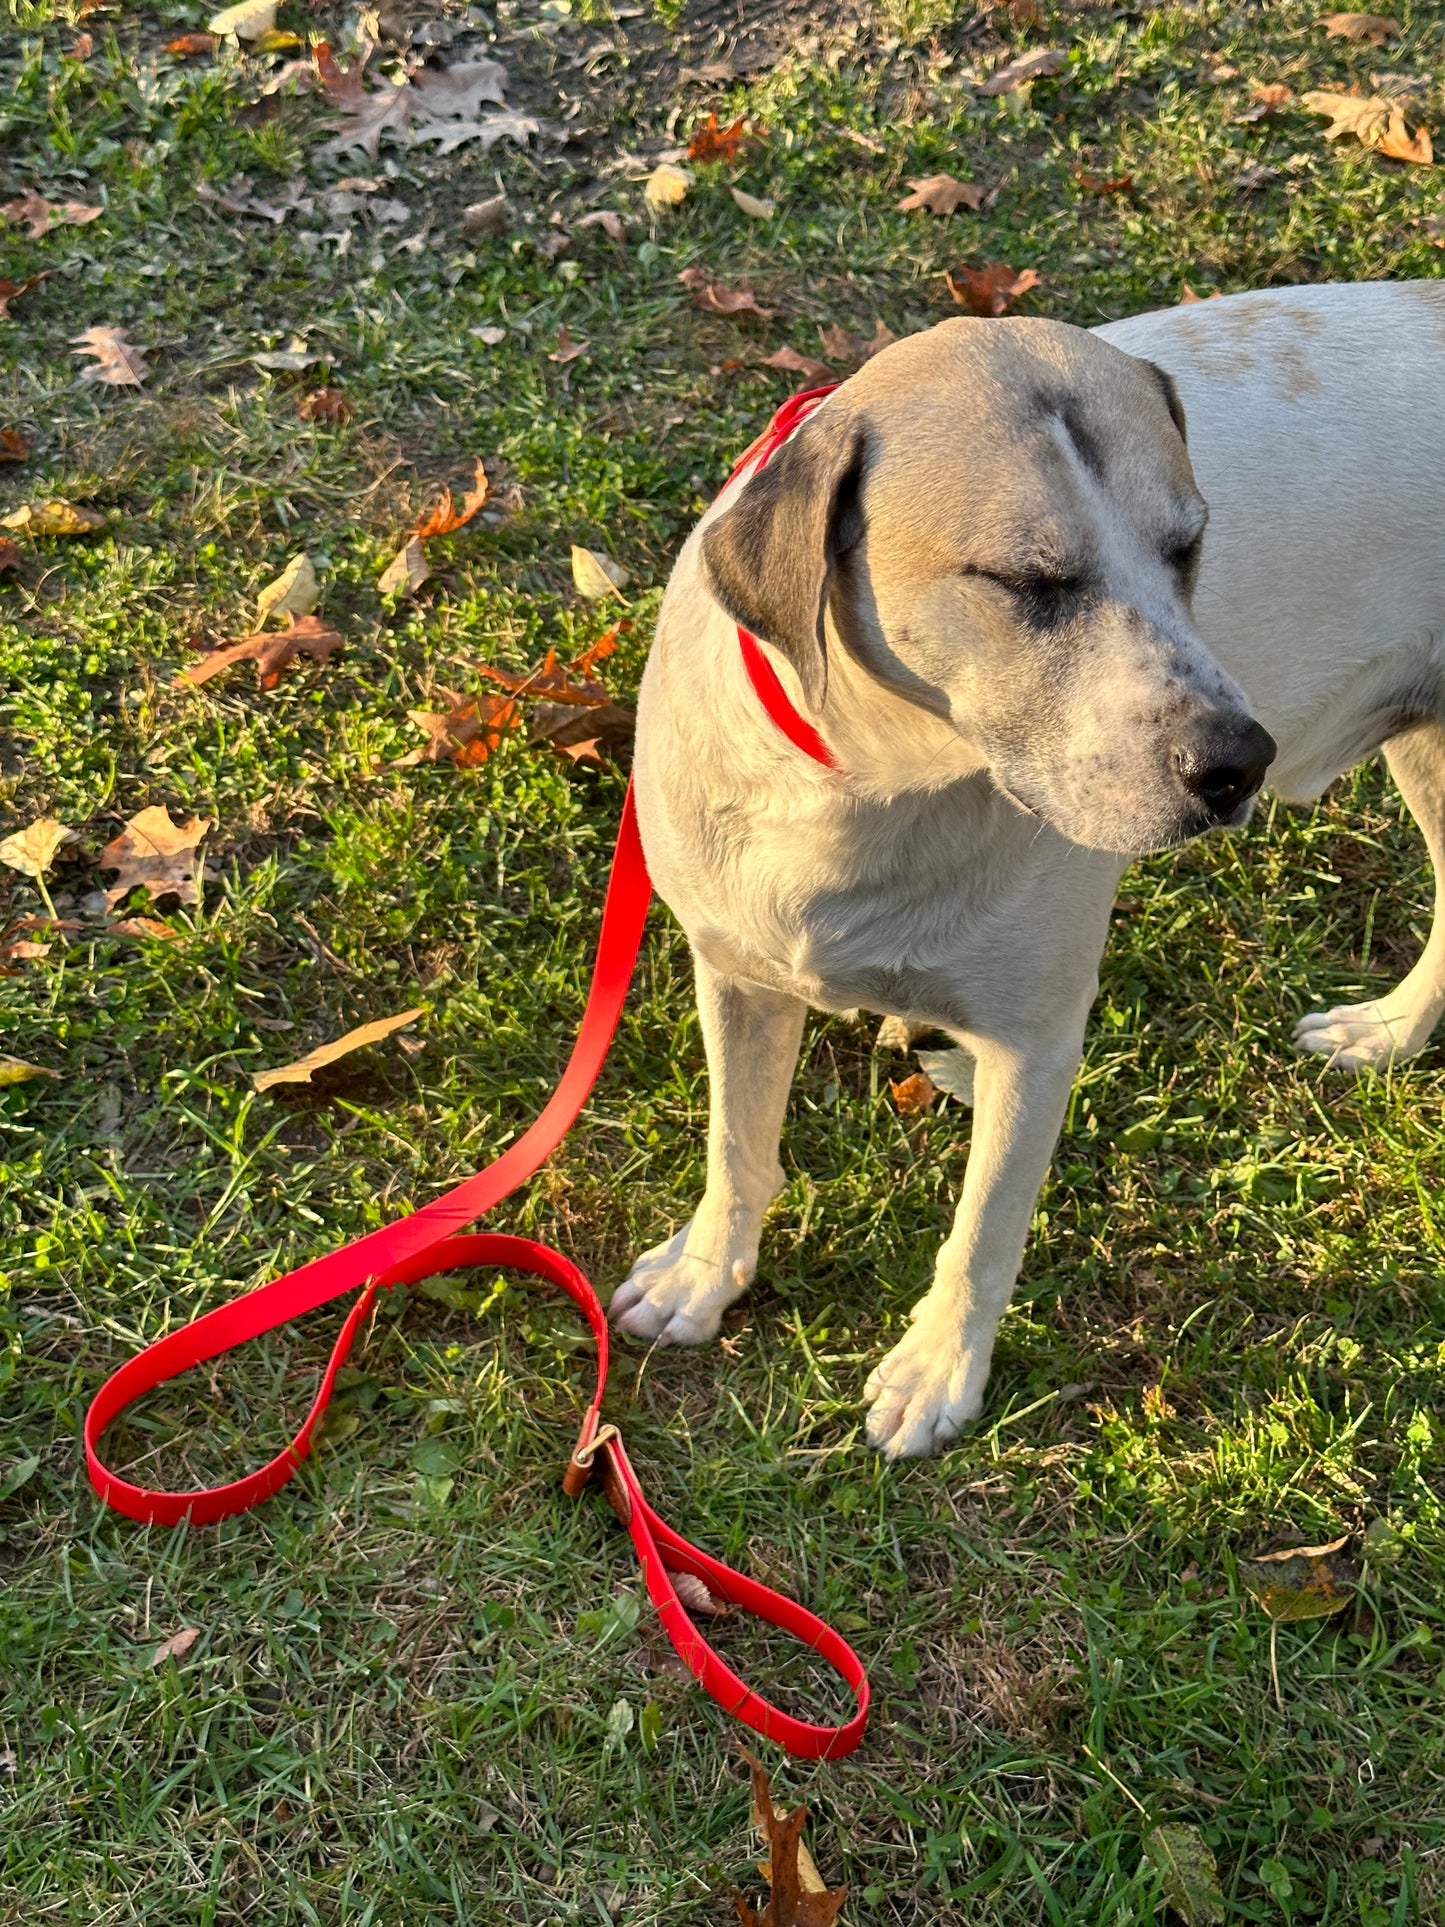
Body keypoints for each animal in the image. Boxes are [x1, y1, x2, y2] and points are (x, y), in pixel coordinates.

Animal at [612, 279, 1445, 1456]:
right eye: (1026, 581)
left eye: (1188, 549)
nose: (1236, 762)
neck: (868, 793)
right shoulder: (736, 973)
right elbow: (736, 1146)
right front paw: (702, 1274)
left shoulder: (1035, 1042)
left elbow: (979, 1236)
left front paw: (936, 1372)